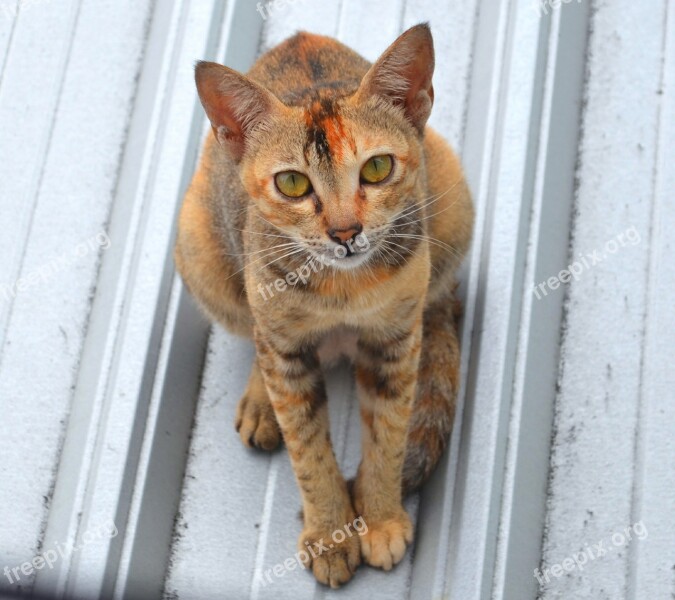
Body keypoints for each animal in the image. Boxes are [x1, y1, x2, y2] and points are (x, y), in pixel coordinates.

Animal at [177, 22, 478, 584]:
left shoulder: (395, 342)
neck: (343, 291)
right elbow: (308, 449)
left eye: (377, 168)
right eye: (292, 183)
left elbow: (388, 436)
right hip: (199, 253)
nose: (345, 232)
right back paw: (260, 403)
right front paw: (331, 537)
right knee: (253, 334)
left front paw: (379, 521)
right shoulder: (287, 351)